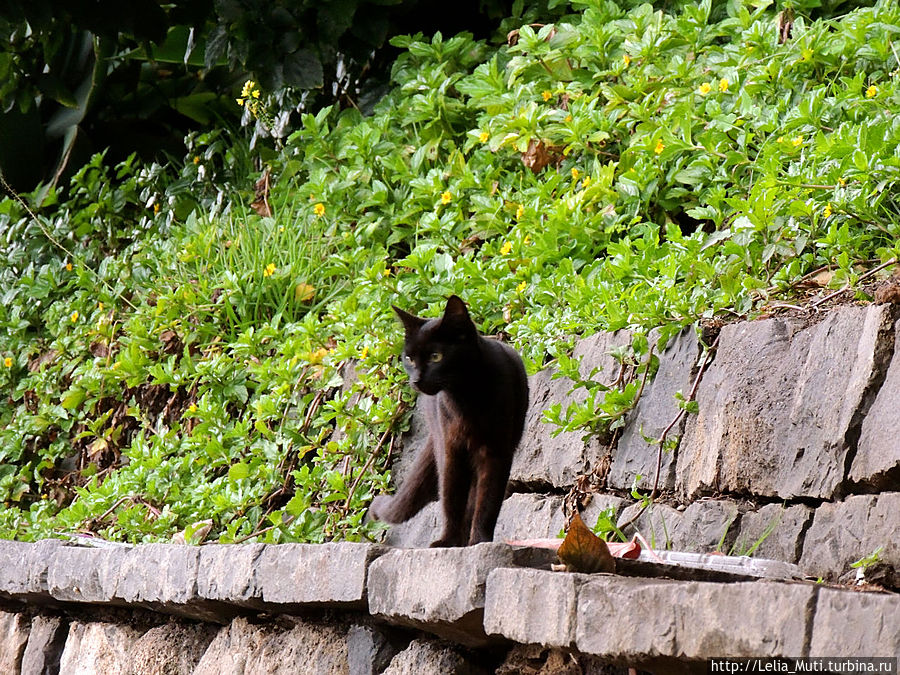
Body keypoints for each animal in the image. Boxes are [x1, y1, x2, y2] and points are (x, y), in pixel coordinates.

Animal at [370, 298, 532, 548]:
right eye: (409, 359)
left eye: (436, 356)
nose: (416, 379)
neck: (466, 399)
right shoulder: (451, 450)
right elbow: (451, 500)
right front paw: (448, 541)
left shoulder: (496, 452)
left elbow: (487, 502)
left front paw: (479, 540)